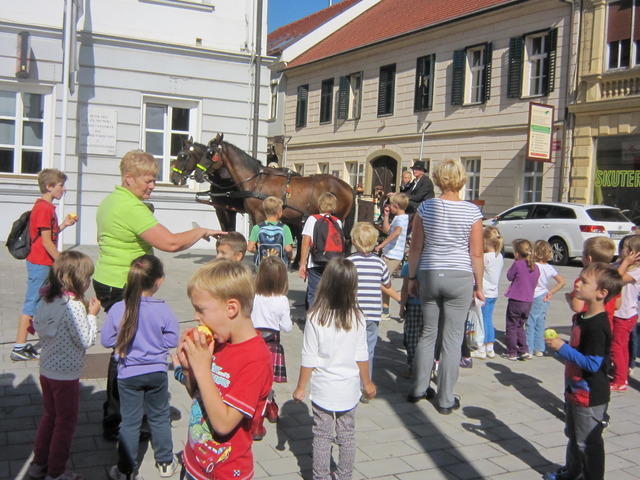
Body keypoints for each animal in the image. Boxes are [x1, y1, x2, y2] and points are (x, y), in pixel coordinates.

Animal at [206, 131, 356, 227]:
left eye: (211, 152)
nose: (200, 174)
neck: (256, 182)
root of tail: (348, 187)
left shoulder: (260, 215)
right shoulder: (253, 215)